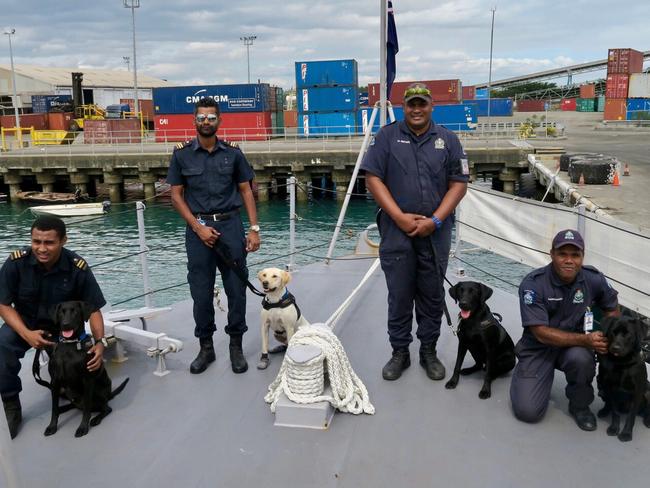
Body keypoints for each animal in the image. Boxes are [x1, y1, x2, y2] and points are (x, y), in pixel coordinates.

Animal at [44, 302, 128, 438]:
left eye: (75, 311)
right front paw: (52, 426)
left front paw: (83, 427)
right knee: (71, 406)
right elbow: (54, 408)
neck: (70, 345)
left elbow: (87, 409)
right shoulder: (55, 382)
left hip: (97, 392)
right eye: (61, 312)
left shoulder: (87, 380)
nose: (66, 324)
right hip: (68, 392)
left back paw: (96, 419)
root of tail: (109, 394)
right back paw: (64, 409)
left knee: (106, 408)